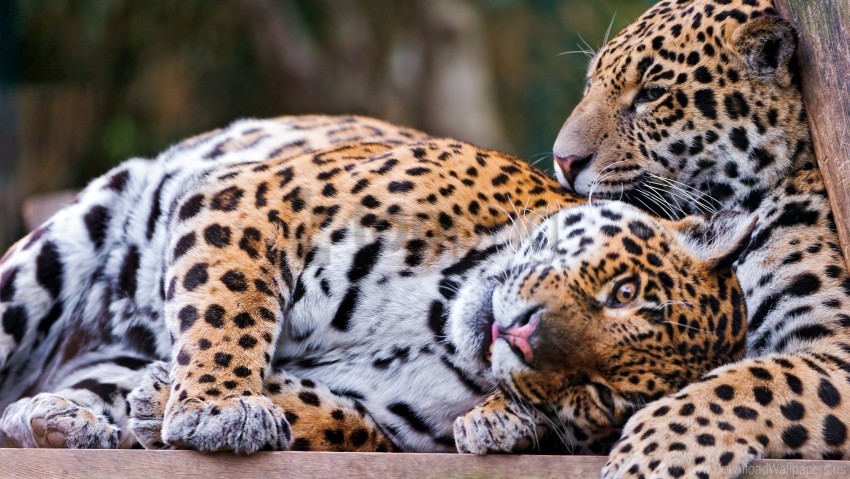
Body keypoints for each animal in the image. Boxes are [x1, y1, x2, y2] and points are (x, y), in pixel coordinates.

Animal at [0, 114, 754, 454]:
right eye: (621, 292)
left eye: (600, 394)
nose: (521, 335)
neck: (436, 316)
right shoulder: (258, 199)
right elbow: (228, 309)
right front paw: (218, 405)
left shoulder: (385, 419)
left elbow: (344, 422)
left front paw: (161, 401)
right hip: (59, 250)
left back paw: (63, 418)